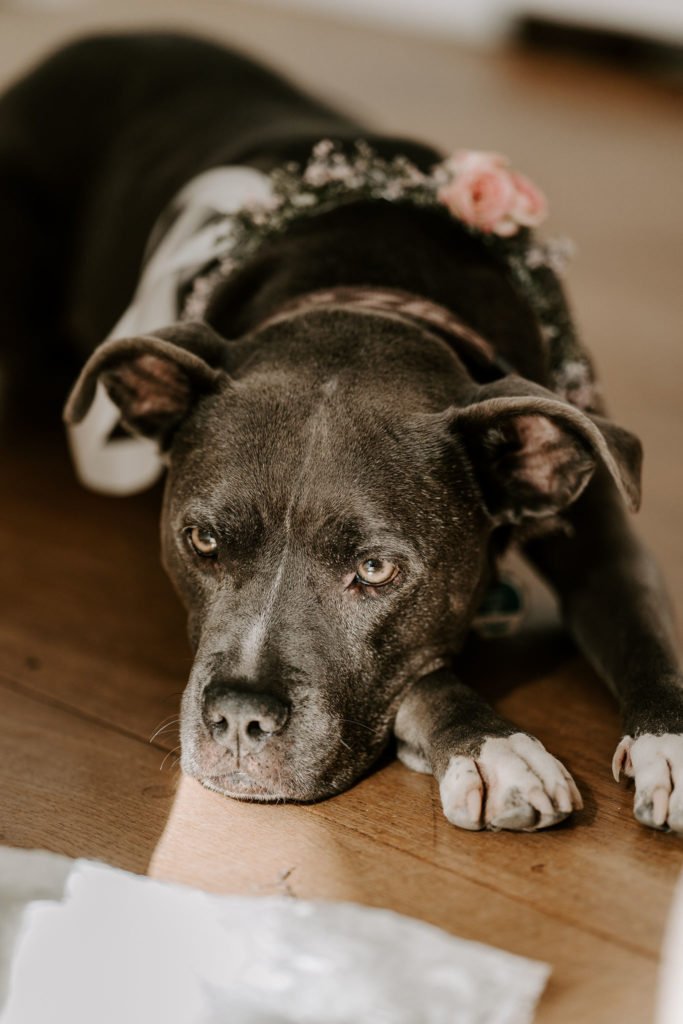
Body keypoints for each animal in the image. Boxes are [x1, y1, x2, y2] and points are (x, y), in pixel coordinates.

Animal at [5, 32, 683, 831]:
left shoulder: (594, 505)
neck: (374, 291)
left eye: (375, 569)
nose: (239, 718)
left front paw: (668, 740)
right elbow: (425, 675)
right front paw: (492, 746)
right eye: (201, 540)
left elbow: (638, 616)